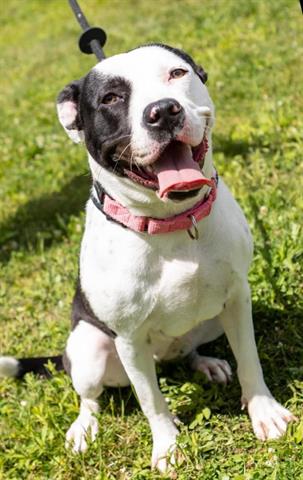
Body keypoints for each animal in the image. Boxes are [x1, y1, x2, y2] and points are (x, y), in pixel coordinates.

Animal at [0, 44, 294, 472]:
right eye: (110, 98)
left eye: (177, 73)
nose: (163, 111)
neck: (171, 223)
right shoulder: (129, 338)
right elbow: (151, 401)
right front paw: (168, 447)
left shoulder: (238, 297)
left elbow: (249, 359)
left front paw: (264, 411)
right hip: (89, 349)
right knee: (91, 396)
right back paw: (84, 428)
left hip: (210, 323)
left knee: (188, 350)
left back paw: (205, 363)